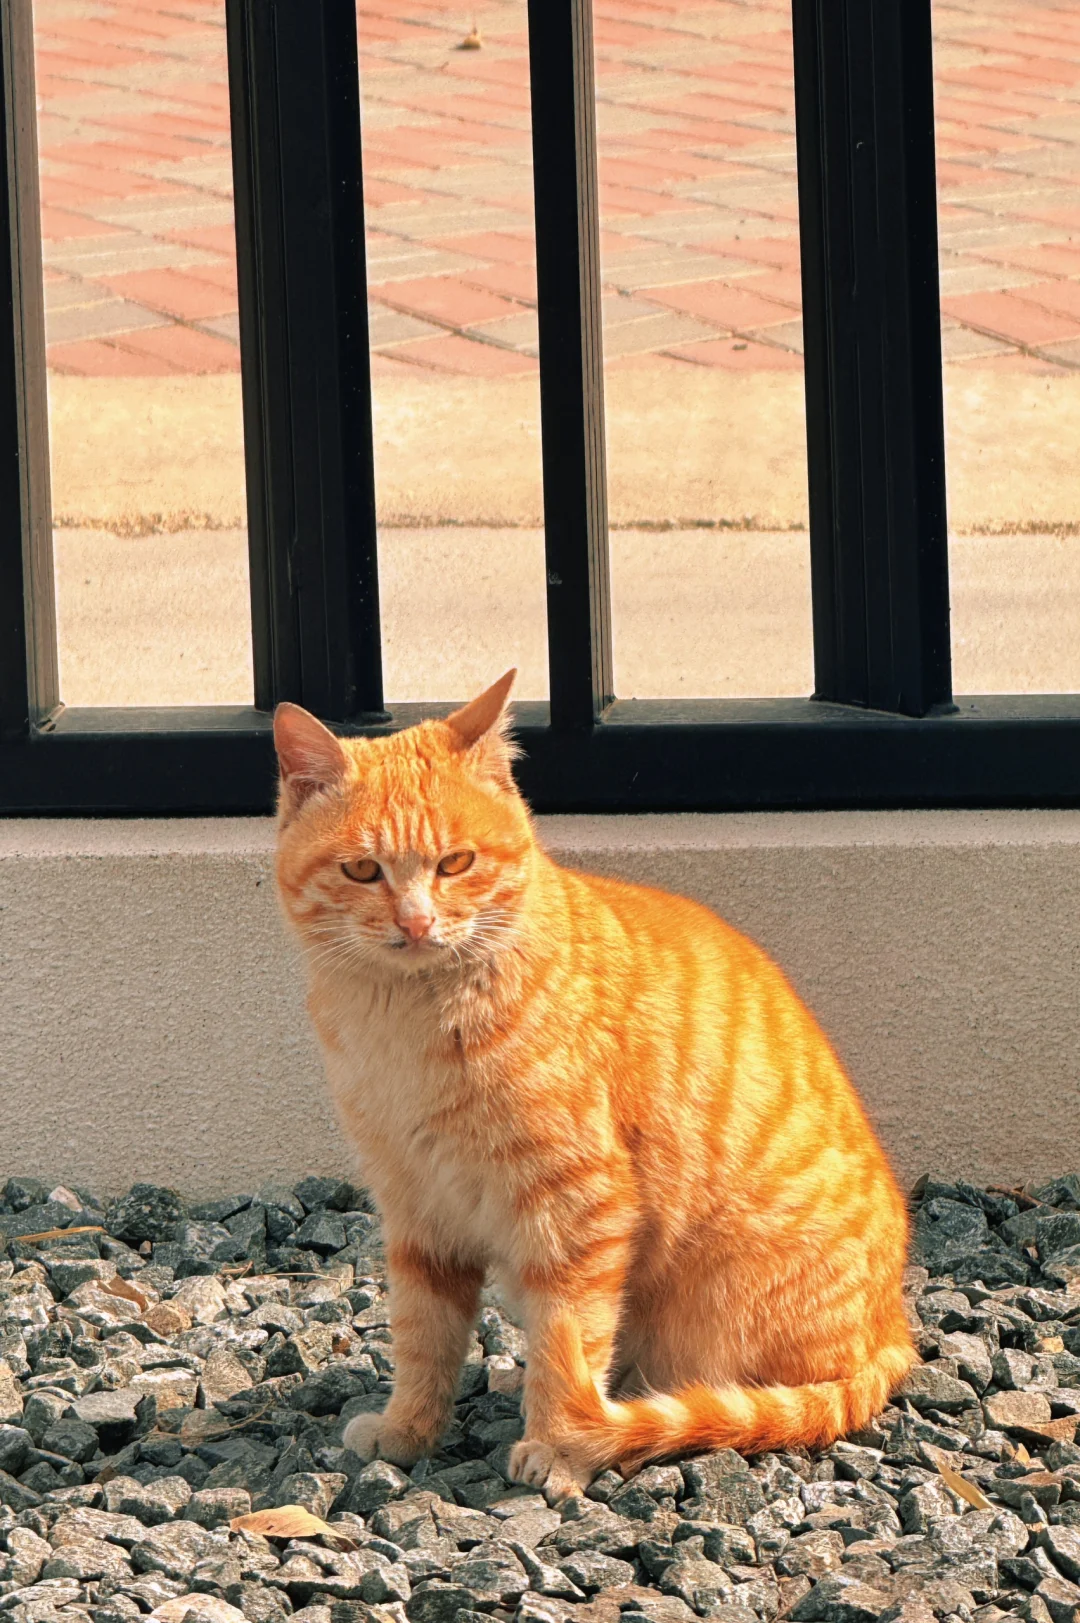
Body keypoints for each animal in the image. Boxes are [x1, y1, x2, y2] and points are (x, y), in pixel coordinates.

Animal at [273, 669, 914, 1500]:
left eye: (455, 863)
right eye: (361, 870)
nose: (415, 924)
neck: (408, 1026)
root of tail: (894, 1330)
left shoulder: (578, 1205)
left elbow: (570, 1331)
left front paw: (560, 1442)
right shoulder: (416, 1205)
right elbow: (423, 1334)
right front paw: (409, 1428)